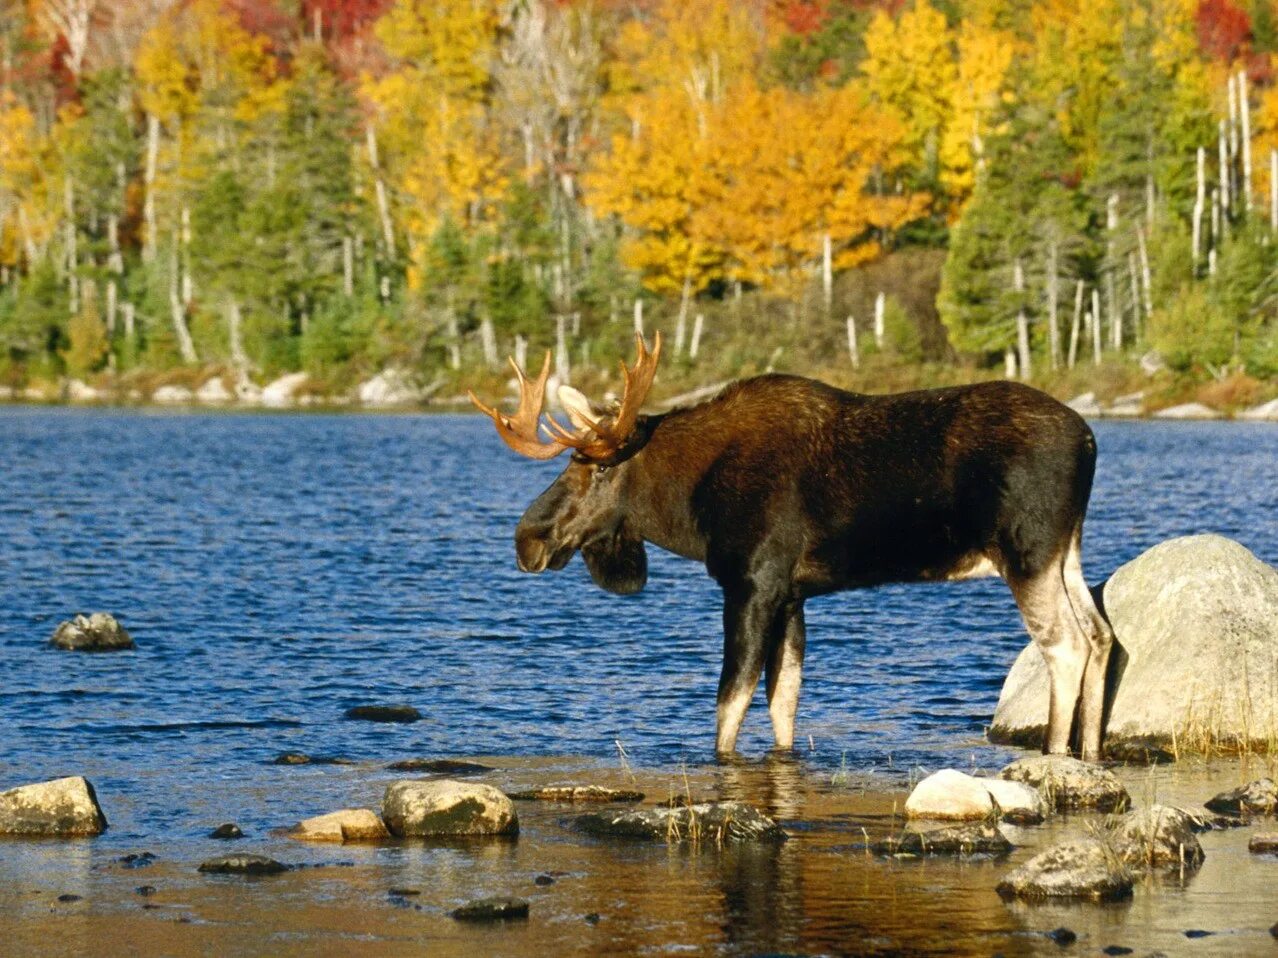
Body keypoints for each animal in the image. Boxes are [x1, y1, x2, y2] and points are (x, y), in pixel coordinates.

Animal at [472, 334, 1119, 761]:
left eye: (596, 468)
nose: (527, 539)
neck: (689, 505)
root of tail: (1090, 441)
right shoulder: (793, 594)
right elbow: (784, 701)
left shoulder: (752, 582)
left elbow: (729, 703)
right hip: (1066, 552)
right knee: (1101, 634)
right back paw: (1089, 756)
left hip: (1027, 553)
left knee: (1065, 644)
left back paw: (1056, 757)